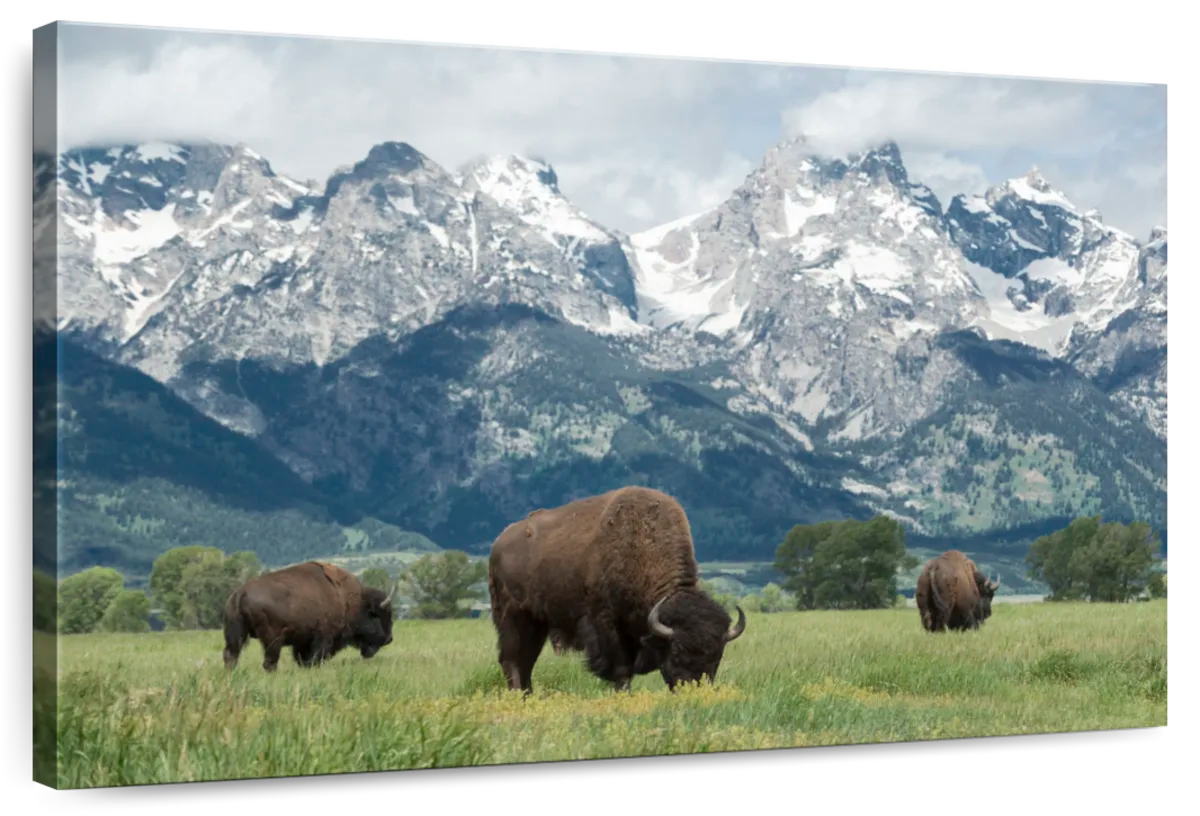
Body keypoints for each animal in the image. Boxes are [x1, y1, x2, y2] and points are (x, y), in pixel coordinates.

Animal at [222, 560, 397, 672]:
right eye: (376, 615)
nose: (389, 639)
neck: (353, 601)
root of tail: (240, 592)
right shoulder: (323, 637)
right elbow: (316, 657)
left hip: (235, 634)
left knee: (231, 656)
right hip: (273, 639)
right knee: (269, 661)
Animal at [487, 486, 747, 696]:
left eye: (717, 657)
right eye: (677, 652)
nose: (693, 690)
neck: (643, 546)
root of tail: (498, 543)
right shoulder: (608, 625)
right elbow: (622, 669)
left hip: (537, 623)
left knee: (526, 660)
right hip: (513, 617)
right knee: (512, 659)